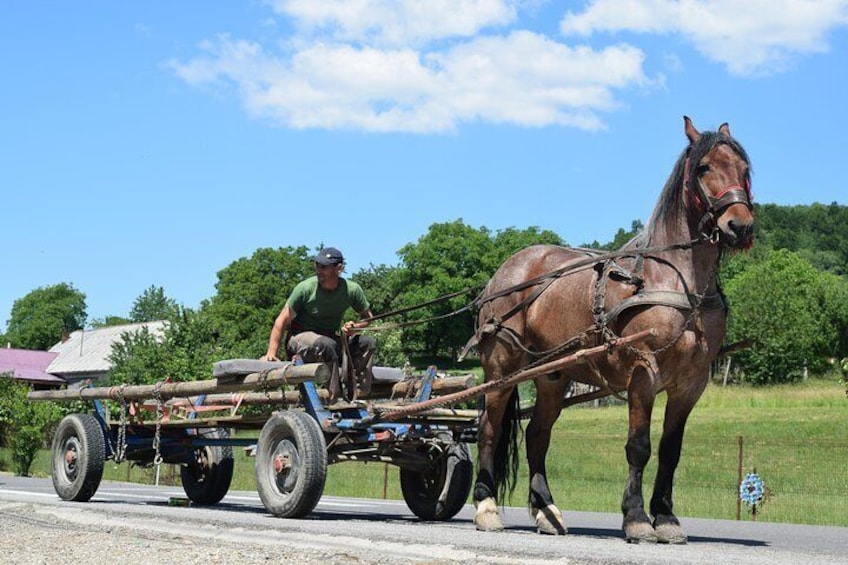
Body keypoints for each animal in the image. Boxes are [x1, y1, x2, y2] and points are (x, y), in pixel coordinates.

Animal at [470, 115, 756, 540]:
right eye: (705, 168)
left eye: (744, 169)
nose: (740, 225)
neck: (677, 283)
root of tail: (507, 270)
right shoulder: (642, 373)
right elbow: (639, 446)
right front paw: (636, 517)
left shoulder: (691, 383)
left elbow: (670, 451)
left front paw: (666, 517)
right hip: (501, 368)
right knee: (488, 428)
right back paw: (486, 507)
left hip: (552, 375)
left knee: (537, 435)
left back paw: (546, 510)